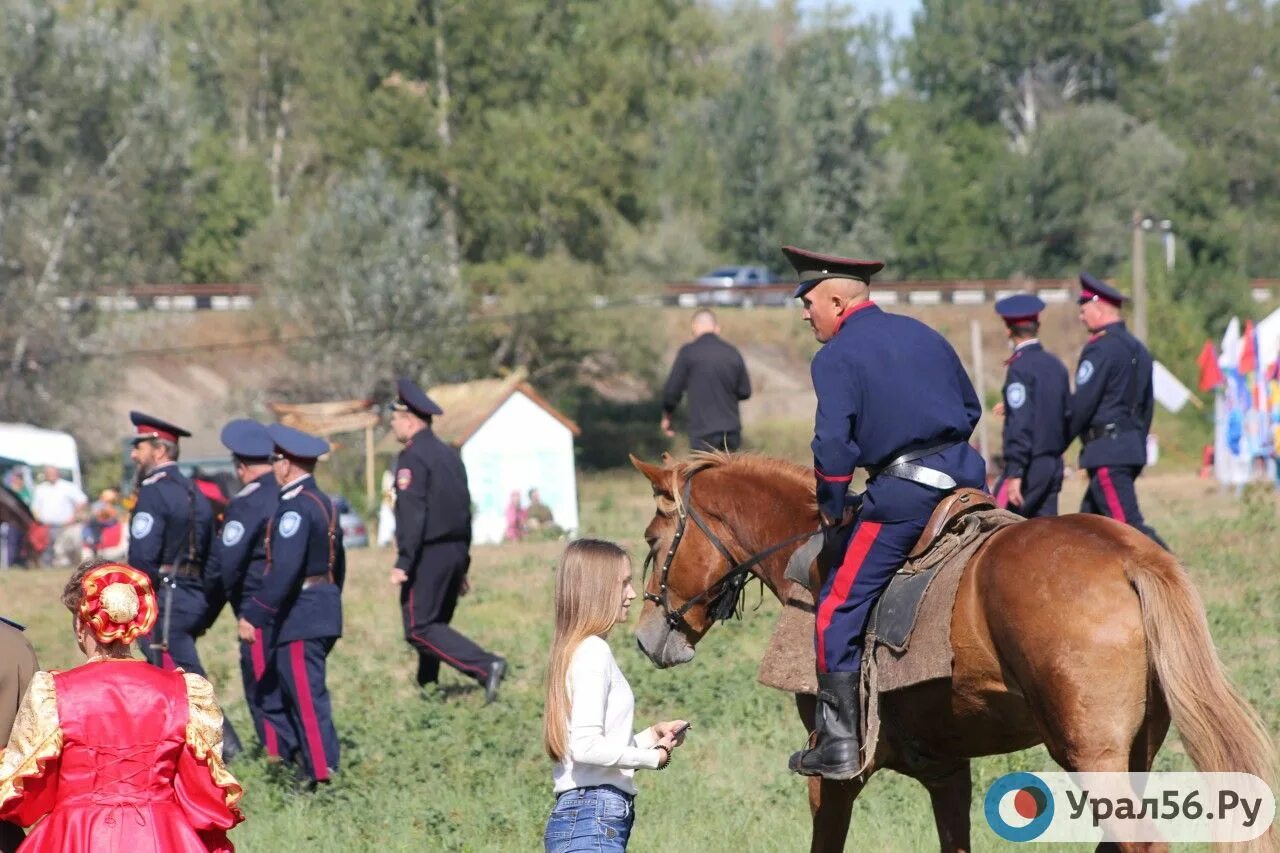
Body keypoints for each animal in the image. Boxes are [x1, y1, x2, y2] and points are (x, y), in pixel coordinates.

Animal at [634, 450, 1274, 850]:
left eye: (652, 540)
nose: (644, 636)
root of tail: (1126, 554)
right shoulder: (947, 771)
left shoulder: (834, 775)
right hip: (1133, 754)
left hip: (1091, 758)